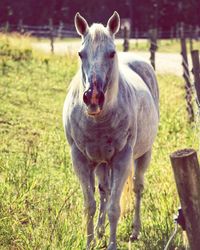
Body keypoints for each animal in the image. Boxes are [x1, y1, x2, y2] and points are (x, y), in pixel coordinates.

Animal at [63, 11, 159, 250]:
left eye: (111, 53)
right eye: (81, 54)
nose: (93, 97)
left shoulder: (122, 160)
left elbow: (115, 208)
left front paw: (112, 244)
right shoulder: (81, 160)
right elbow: (90, 205)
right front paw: (90, 242)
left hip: (143, 155)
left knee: (137, 188)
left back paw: (134, 231)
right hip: (101, 164)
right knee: (104, 191)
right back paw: (99, 231)